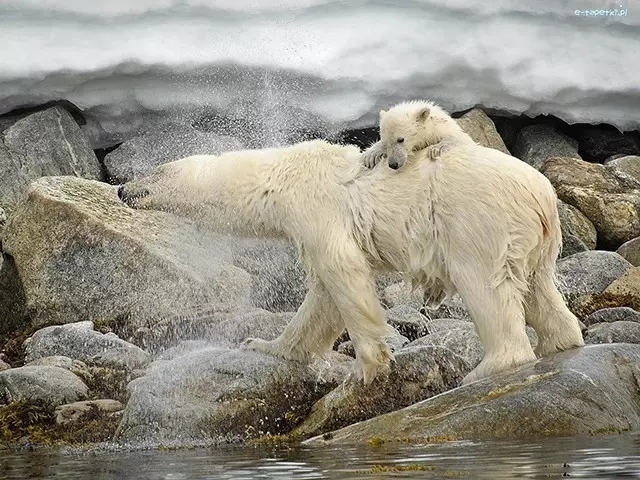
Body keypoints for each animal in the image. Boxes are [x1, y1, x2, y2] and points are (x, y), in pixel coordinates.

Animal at [117, 99, 584, 384]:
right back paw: (562, 341)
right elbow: (321, 300)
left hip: (478, 222)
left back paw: (487, 368)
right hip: (532, 240)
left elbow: (344, 273)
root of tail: (542, 196)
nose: (122, 189)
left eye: (155, 171)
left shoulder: (315, 208)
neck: (281, 174)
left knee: (487, 287)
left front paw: (369, 367)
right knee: (539, 288)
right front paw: (265, 345)